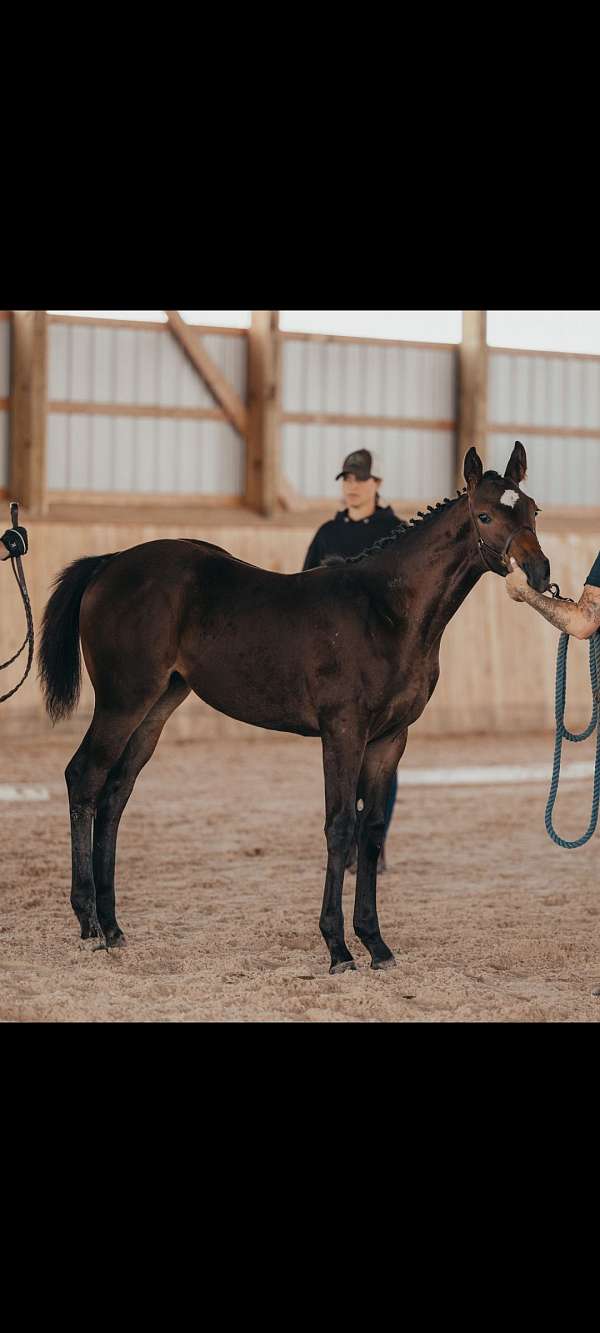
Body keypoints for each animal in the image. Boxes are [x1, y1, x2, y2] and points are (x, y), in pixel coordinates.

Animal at [39, 442, 552, 975]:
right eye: (485, 515)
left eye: (533, 510)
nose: (539, 574)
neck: (386, 611)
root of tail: (110, 563)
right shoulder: (343, 730)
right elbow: (340, 825)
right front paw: (338, 948)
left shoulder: (390, 739)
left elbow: (371, 831)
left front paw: (376, 944)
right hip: (122, 701)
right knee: (85, 777)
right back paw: (89, 924)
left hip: (157, 706)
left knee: (116, 793)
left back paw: (113, 925)